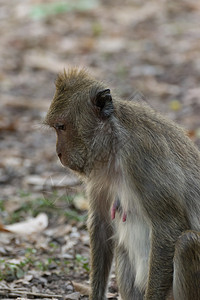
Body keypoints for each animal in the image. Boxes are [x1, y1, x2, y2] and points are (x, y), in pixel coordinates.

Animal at [44, 68, 200, 300]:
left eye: (61, 127)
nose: (58, 153)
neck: (115, 142)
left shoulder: (142, 157)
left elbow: (168, 227)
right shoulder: (99, 173)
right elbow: (101, 225)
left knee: (186, 243)